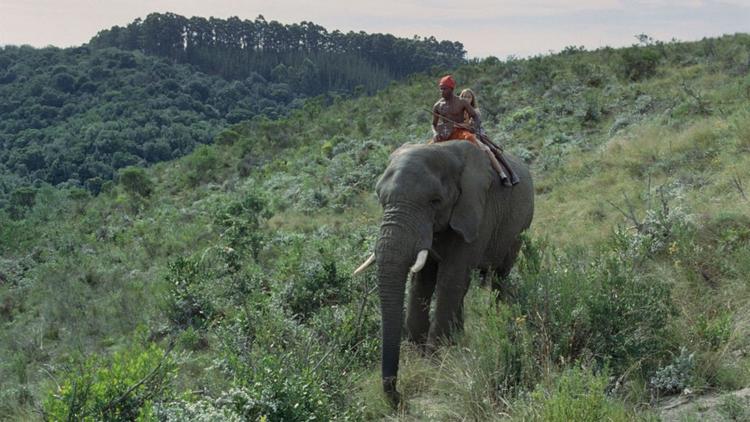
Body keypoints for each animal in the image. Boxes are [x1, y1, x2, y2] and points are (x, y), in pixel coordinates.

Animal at [354, 141, 536, 406]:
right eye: (381, 200)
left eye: (435, 201)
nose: (399, 397)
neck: (445, 151)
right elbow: (422, 279)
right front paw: (420, 353)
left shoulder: (477, 209)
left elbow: (451, 276)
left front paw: (434, 360)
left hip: (518, 227)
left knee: (499, 276)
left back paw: (501, 318)